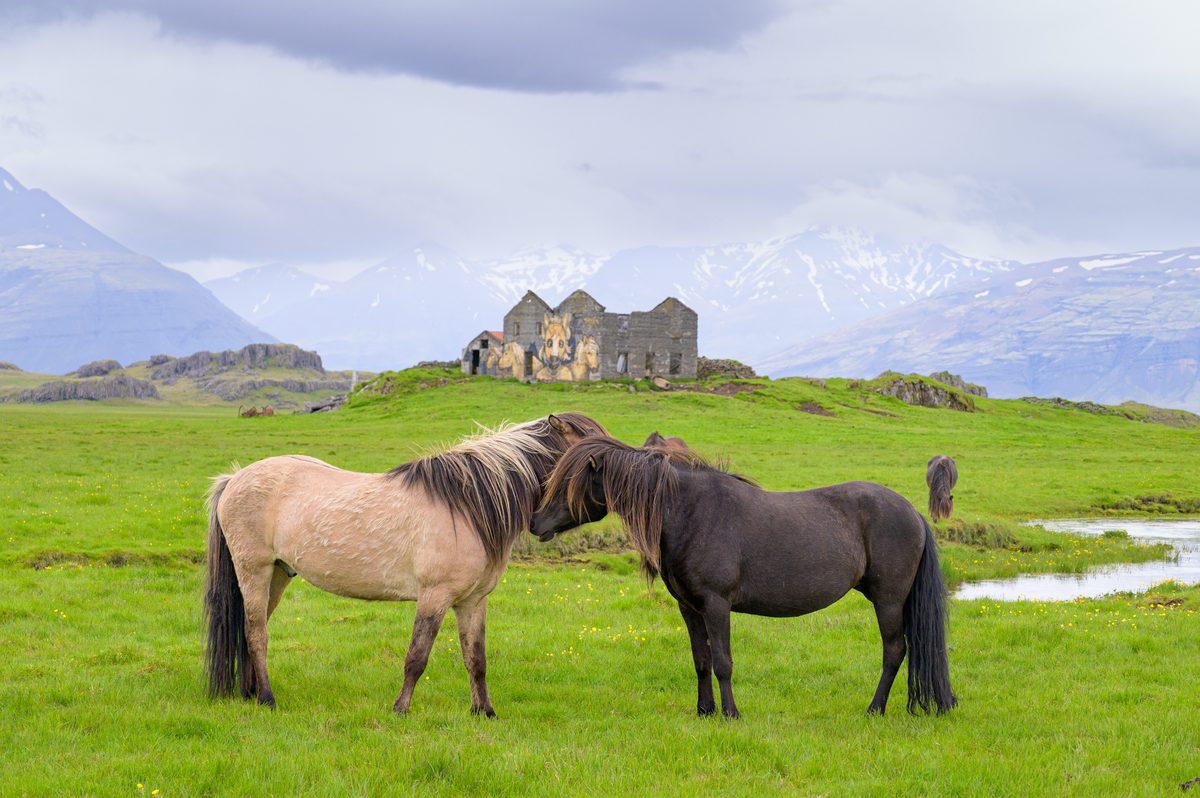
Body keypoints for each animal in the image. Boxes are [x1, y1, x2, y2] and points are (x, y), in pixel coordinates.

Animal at [204, 412, 607, 716]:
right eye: (590, 453)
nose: (540, 526)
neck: (467, 504)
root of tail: (234, 478)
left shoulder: (473, 601)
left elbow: (476, 658)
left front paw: (484, 712)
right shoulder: (435, 596)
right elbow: (417, 656)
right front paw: (400, 709)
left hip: (278, 574)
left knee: (251, 630)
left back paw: (251, 694)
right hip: (254, 570)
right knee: (256, 634)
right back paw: (268, 699)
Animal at [531, 436, 956, 719]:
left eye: (568, 483)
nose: (535, 523)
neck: (690, 511)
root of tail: (913, 513)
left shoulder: (717, 604)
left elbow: (723, 661)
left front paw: (731, 714)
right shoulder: (690, 608)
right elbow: (701, 660)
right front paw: (704, 711)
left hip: (889, 601)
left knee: (894, 651)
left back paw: (874, 709)